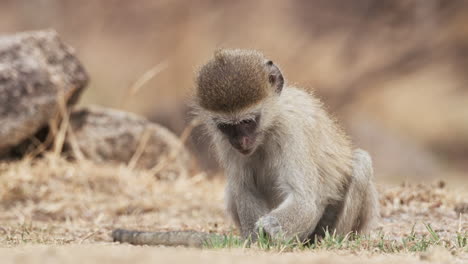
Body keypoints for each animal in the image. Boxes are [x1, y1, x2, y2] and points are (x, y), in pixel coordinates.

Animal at [111, 48, 378, 246]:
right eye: (227, 127)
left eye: (248, 122)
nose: (241, 142)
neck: (270, 124)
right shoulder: (224, 141)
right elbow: (245, 188)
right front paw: (255, 239)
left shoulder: (293, 129)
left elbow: (304, 200)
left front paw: (269, 228)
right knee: (233, 188)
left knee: (361, 163)